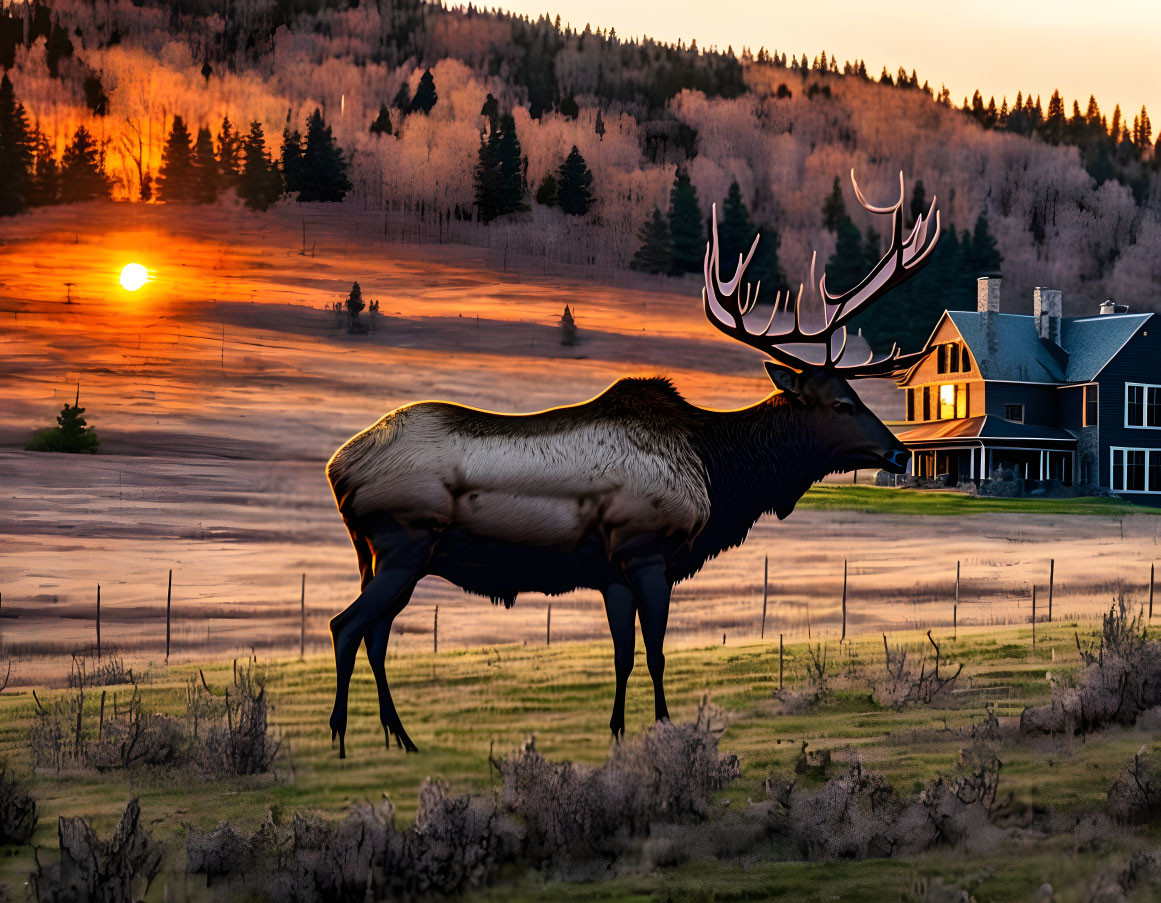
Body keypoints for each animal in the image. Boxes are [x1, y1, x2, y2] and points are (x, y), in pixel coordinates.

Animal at [322, 169, 938, 752]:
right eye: (841, 403)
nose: (898, 451)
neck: (717, 474)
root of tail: (337, 468)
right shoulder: (647, 552)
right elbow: (657, 653)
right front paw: (664, 728)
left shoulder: (610, 570)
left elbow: (622, 655)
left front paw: (618, 731)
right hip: (402, 543)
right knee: (345, 625)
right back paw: (344, 740)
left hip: (379, 555)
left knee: (375, 634)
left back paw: (399, 738)